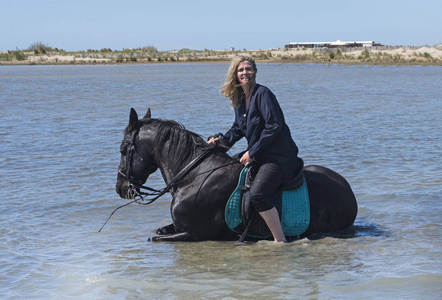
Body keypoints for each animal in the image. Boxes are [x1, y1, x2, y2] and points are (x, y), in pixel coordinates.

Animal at [115, 109, 358, 243]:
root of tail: (348, 191)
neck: (193, 176)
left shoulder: (194, 234)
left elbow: (153, 237)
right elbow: (158, 230)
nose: (121, 188)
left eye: (123, 148)